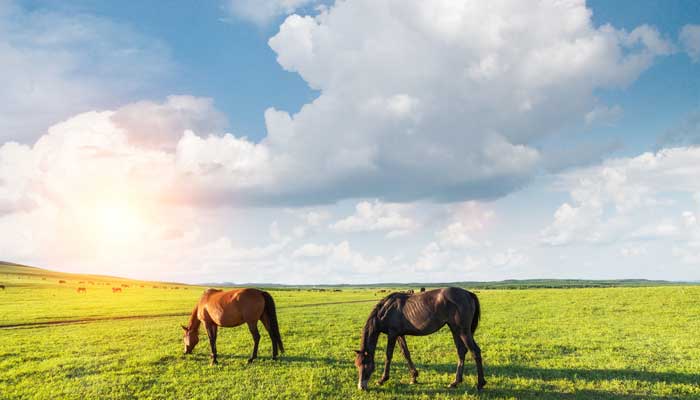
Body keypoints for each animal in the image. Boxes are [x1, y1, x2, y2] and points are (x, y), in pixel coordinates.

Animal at [352, 286, 484, 392]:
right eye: (357, 365)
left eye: (366, 364)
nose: (361, 387)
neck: (387, 309)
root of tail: (468, 293)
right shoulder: (400, 335)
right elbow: (406, 354)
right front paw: (414, 377)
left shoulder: (392, 334)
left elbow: (388, 355)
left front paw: (382, 379)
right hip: (455, 329)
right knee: (461, 351)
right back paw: (455, 382)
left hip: (463, 331)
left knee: (475, 352)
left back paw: (480, 384)